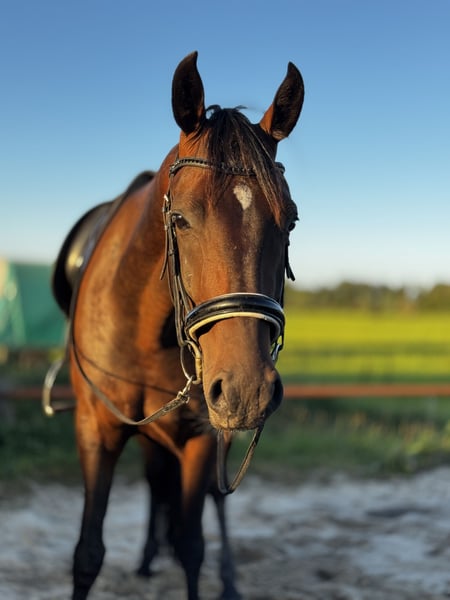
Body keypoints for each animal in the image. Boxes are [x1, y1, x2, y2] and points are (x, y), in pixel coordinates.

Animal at [52, 51, 304, 600]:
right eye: (182, 219)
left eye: (290, 221)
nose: (247, 389)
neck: (147, 328)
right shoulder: (94, 430)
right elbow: (87, 553)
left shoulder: (200, 436)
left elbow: (192, 545)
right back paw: (148, 556)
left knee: (215, 501)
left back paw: (225, 577)